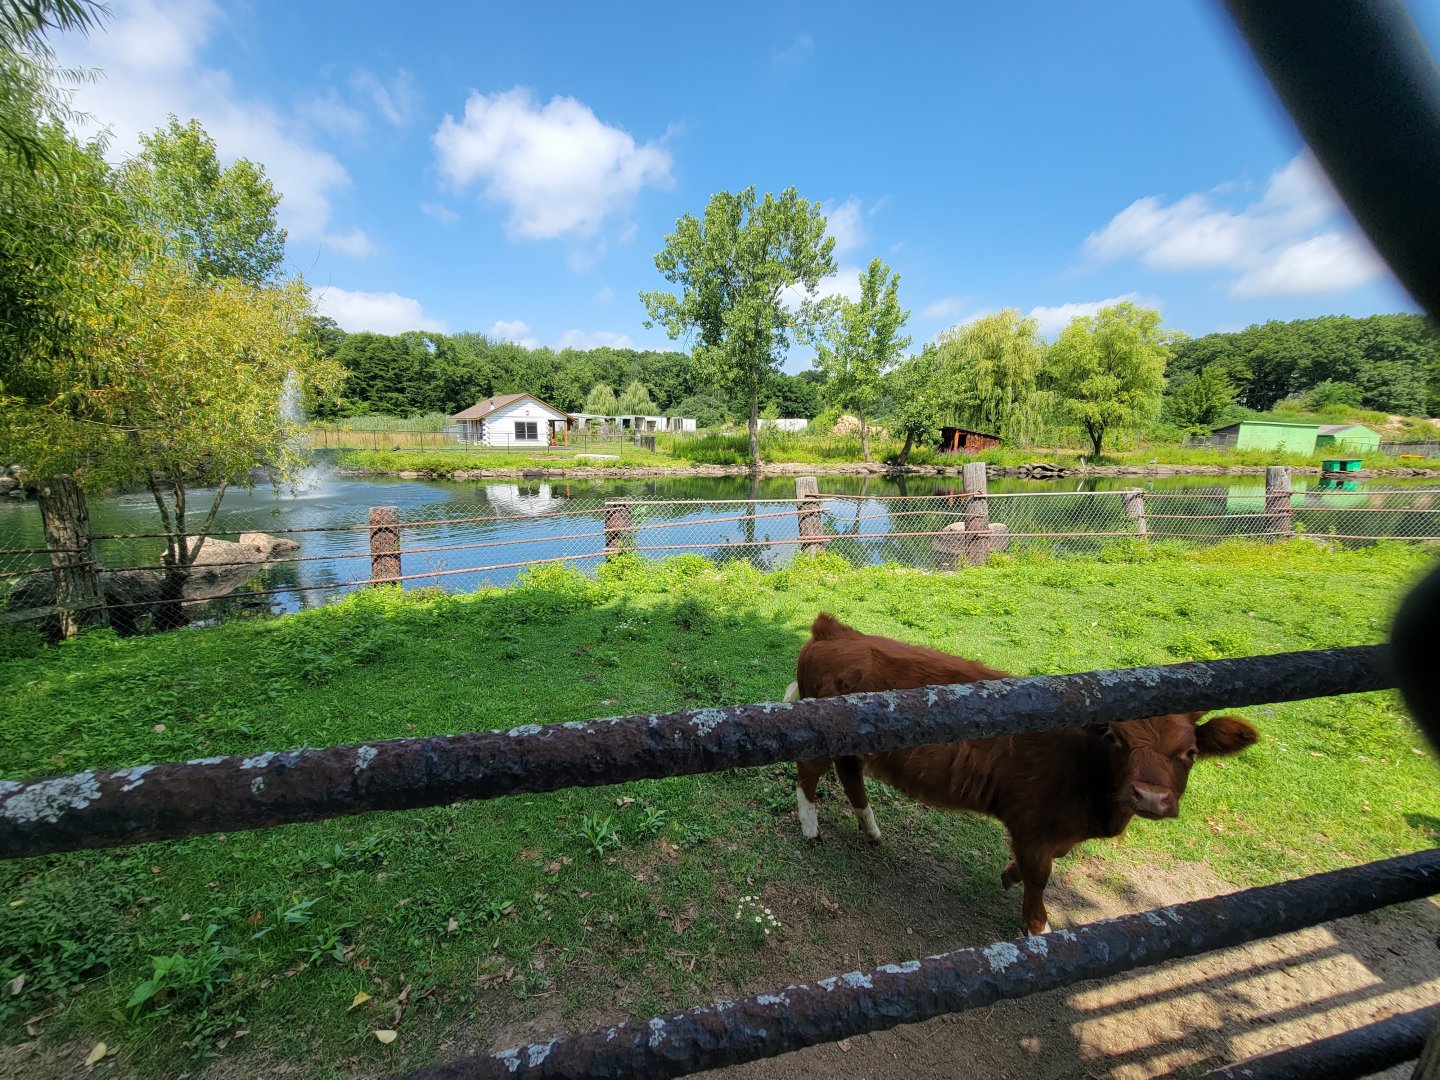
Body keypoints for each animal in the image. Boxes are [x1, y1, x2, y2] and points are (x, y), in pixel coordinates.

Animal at [786, 613, 1258, 934]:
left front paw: (1007, 876)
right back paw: (810, 829)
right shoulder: (1034, 825)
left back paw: (871, 831)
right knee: (808, 775)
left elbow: (1036, 868)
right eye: (1117, 739)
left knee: (850, 776)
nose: (1151, 797)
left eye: (1190, 752)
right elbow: (1039, 877)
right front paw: (1038, 926)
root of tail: (836, 632)